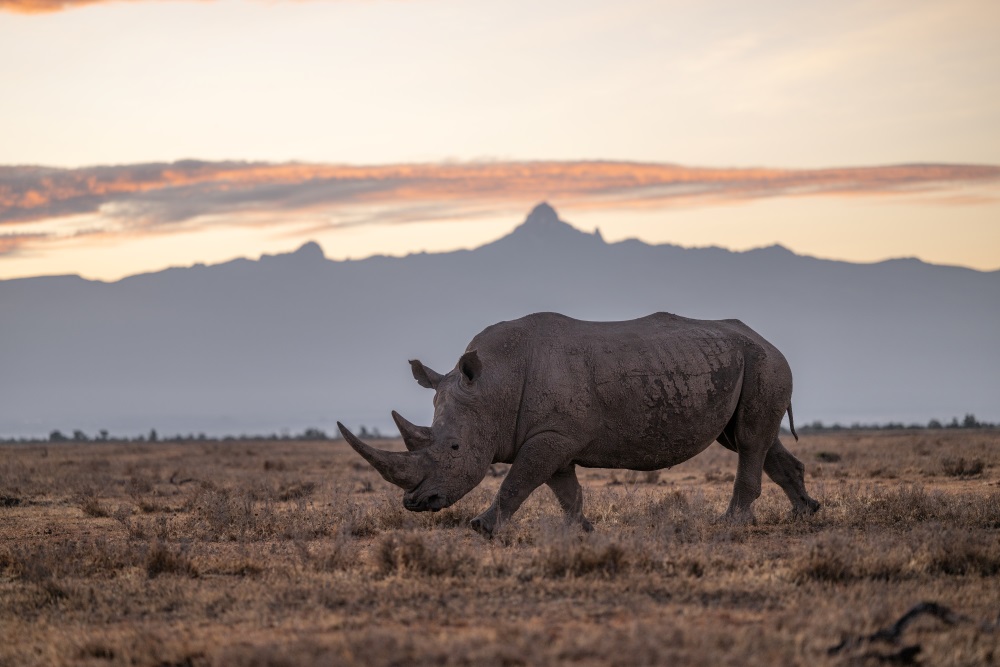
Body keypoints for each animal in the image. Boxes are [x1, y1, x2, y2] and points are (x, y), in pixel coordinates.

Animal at [338, 312, 820, 537]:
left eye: (454, 448)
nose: (417, 504)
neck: (493, 385)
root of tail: (764, 338)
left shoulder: (551, 435)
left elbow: (517, 481)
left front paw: (482, 529)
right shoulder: (553, 435)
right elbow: (562, 487)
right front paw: (581, 530)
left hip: (764, 361)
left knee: (750, 441)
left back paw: (732, 524)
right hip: (743, 362)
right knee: (747, 439)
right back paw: (806, 513)